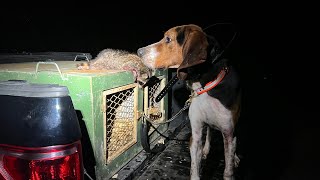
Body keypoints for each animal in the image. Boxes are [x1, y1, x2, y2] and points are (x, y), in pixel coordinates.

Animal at [137, 24, 240, 180]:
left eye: (168, 39)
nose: (138, 52)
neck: (204, 85)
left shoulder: (228, 133)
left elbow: (228, 171)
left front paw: (231, 162)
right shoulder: (196, 134)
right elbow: (195, 170)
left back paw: (235, 158)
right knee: (209, 133)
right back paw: (206, 150)